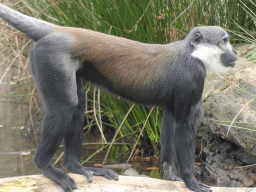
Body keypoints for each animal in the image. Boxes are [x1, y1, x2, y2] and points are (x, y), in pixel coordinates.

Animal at [0, 3, 238, 192]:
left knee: (78, 106)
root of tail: (63, 32)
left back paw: (75, 166)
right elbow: (183, 125)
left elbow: (170, 121)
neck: (193, 53)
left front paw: (170, 176)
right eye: (223, 41)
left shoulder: (175, 98)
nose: (235, 53)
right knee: (64, 107)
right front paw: (191, 181)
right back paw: (44, 165)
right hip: (50, 57)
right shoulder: (192, 78)